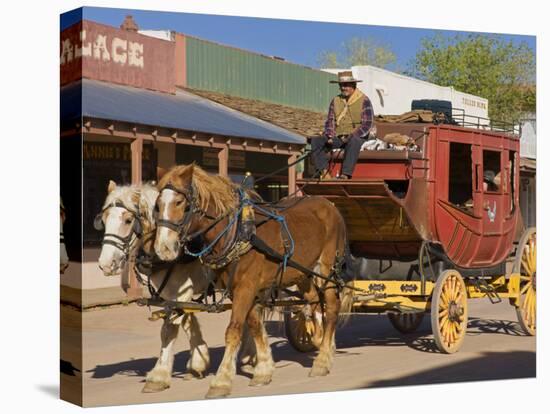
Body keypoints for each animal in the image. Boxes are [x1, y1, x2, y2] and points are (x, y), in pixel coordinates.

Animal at [96, 180, 212, 392]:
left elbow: (171, 329)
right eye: (105, 219)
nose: (105, 264)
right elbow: (184, 323)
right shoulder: (171, 295)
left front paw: (159, 376)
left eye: (128, 220)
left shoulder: (183, 292)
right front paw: (198, 362)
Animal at [154, 164, 350, 398]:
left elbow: (234, 330)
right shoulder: (242, 289)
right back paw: (320, 342)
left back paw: (322, 360)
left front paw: (221, 381)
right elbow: (255, 325)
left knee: (331, 306)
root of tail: (330, 205)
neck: (237, 230)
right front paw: (263, 370)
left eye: (179, 202)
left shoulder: (245, 288)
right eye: (157, 205)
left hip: (326, 268)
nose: (163, 248)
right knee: (313, 302)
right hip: (302, 272)